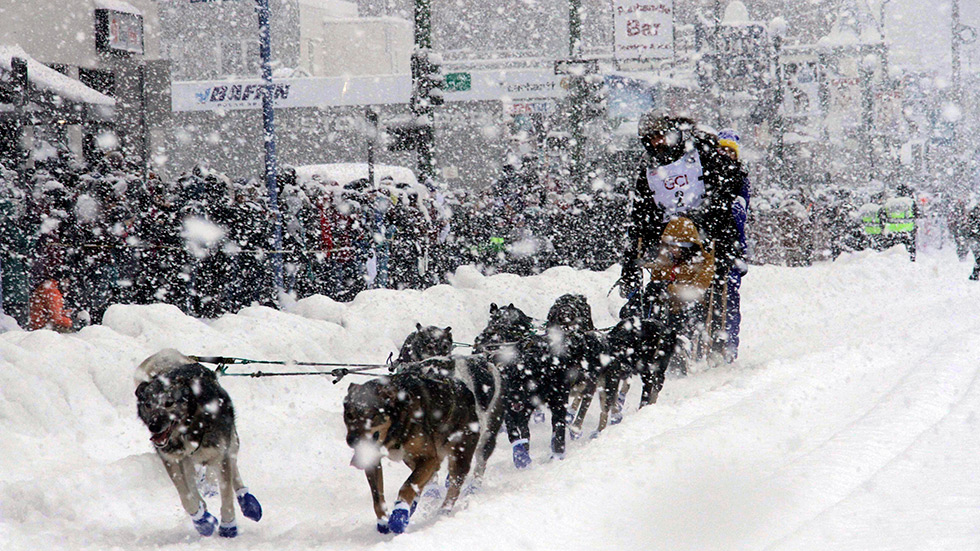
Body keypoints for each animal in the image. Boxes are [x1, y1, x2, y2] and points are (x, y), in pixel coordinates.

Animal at [136, 350, 264, 540]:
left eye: (169, 403)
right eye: (148, 404)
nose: (154, 425)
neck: (189, 425)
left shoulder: (220, 453)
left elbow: (226, 492)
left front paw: (228, 526)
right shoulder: (171, 460)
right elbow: (186, 496)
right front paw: (202, 520)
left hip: (231, 442)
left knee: (233, 469)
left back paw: (247, 501)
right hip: (187, 461)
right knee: (192, 480)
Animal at [342, 370, 480, 536]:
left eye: (371, 415)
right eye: (349, 415)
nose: (351, 440)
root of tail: (467, 390)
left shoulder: (429, 459)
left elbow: (407, 486)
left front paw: (399, 515)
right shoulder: (372, 460)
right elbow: (377, 497)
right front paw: (384, 521)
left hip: (459, 456)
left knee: (454, 487)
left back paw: (440, 514)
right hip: (413, 460)